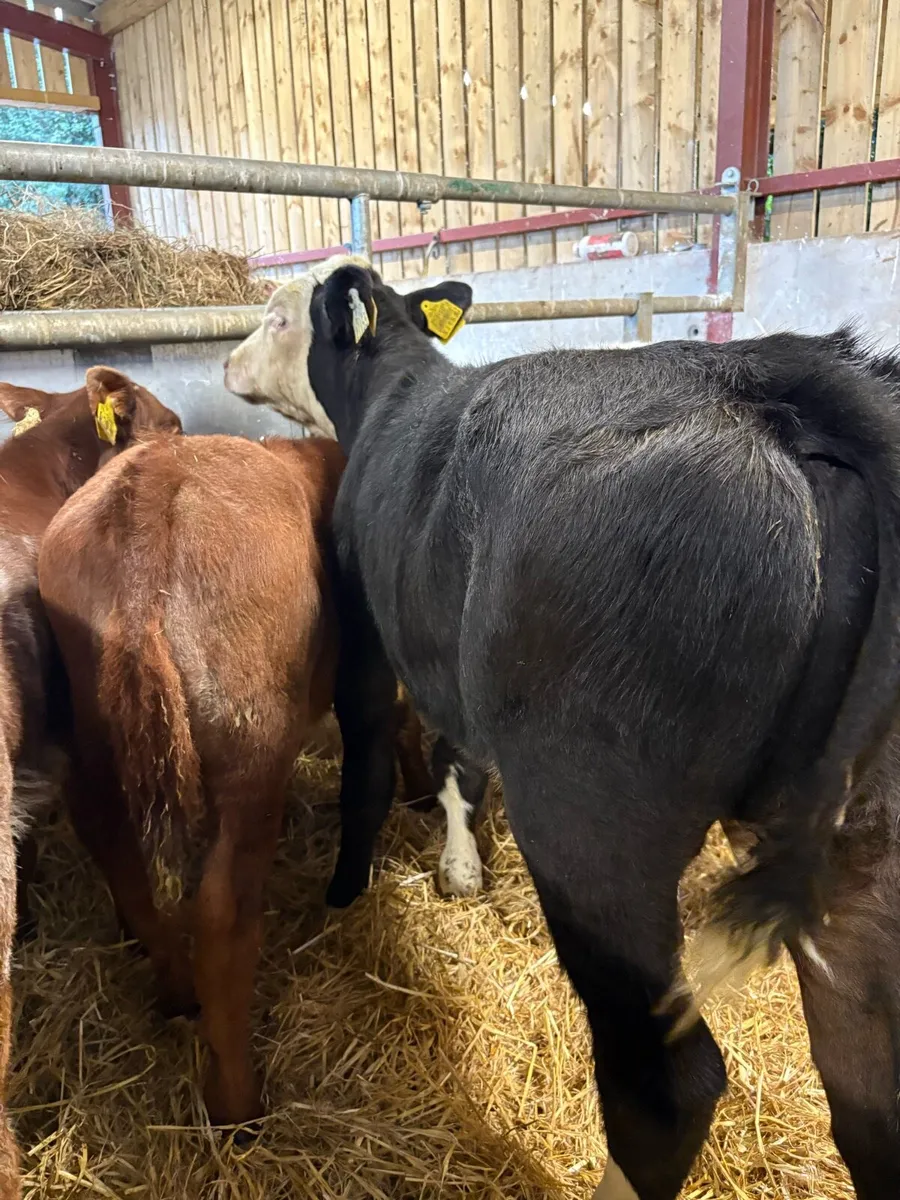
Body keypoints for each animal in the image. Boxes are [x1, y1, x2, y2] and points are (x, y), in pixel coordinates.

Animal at [37, 431, 435, 1131]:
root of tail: (155, 482)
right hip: (254, 746)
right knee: (224, 918)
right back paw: (238, 1107)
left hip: (92, 734)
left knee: (119, 853)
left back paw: (173, 991)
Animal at [225, 255, 900, 1200]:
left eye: (279, 317)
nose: (224, 363)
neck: (393, 394)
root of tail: (775, 388)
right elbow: (460, 765)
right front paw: (462, 869)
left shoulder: (367, 623)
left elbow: (376, 762)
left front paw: (348, 890)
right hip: (866, 856)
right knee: (872, 1095)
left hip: (593, 828)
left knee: (667, 1082)